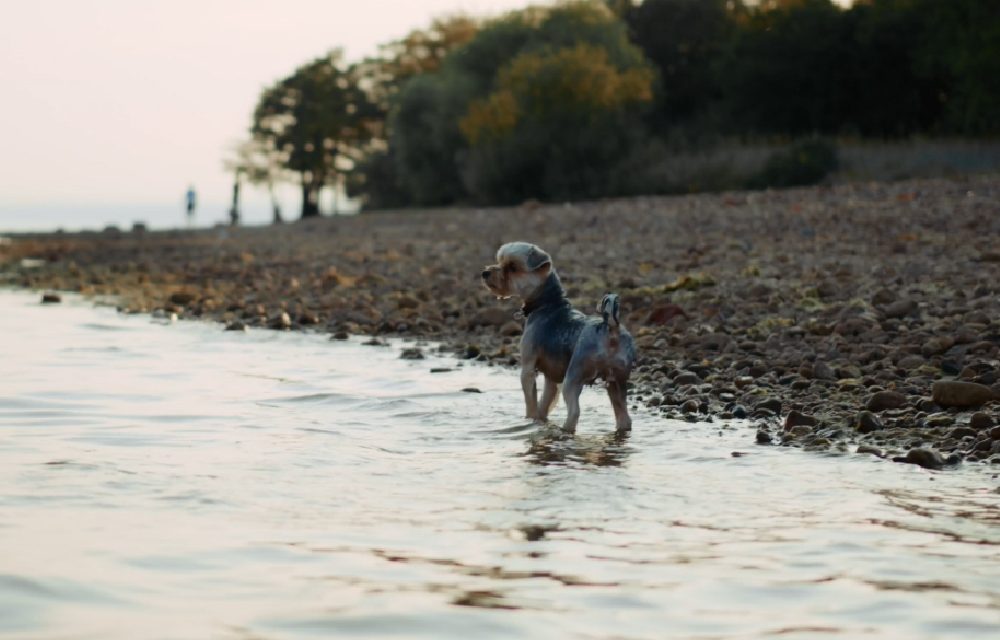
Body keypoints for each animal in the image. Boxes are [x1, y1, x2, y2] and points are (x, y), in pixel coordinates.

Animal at [480, 242, 636, 432]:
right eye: (500, 261)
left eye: (512, 267)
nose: (485, 273)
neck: (548, 304)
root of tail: (611, 329)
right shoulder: (551, 376)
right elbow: (545, 402)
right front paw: (540, 421)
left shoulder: (528, 367)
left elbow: (531, 401)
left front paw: (530, 421)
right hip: (618, 380)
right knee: (623, 414)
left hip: (575, 376)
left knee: (574, 411)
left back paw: (565, 429)